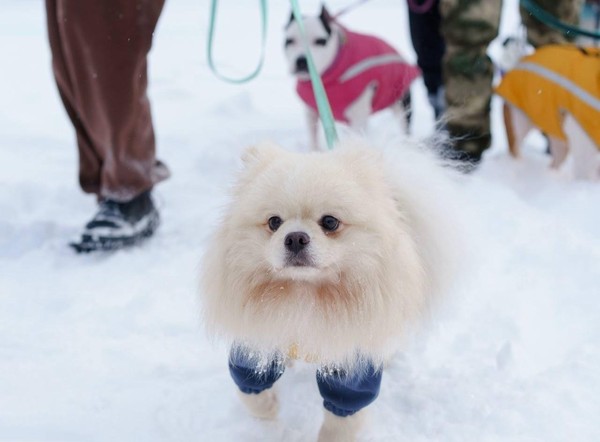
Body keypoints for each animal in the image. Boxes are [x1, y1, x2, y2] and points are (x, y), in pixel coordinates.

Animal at [200, 136, 464, 440]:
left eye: (330, 222)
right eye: (274, 222)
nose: (295, 238)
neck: (303, 294)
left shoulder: (353, 366)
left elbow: (341, 419)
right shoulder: (254, 345)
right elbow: (253, 394)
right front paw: (268, 420)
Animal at [284, 6, 420, 149]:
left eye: (320, 41)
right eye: (290, 41)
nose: (301, 61)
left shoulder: (358, 115)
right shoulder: (311, 112)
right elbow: (313, 138)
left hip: (401, 104)